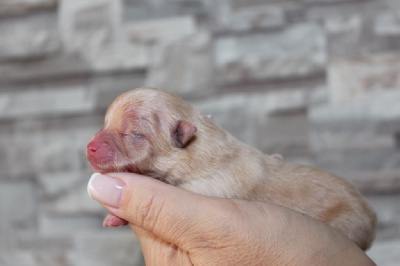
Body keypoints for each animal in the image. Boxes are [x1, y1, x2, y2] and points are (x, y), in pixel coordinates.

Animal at [86, 87, 376, 249]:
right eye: (104, 124)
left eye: (134, 134)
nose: (90, 147)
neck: (202, 144)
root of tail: (370, 215)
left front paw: (116, 216)